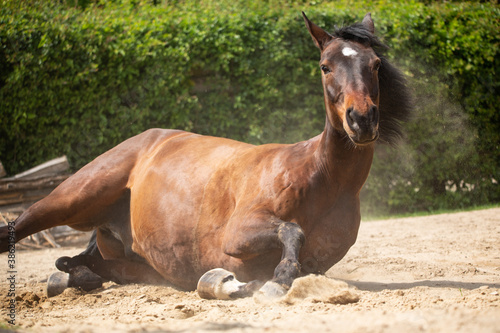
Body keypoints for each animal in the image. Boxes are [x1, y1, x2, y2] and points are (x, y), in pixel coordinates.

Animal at [0, 12, 410, 298]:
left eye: (375, 65)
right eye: (325, 66)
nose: (362, 120)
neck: (321, 178)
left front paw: (245, 283)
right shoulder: (238, 232)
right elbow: (291, 230)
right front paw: (274, 282)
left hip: (129, 260)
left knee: (80, 264)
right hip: (72, 198)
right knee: (21, 227)